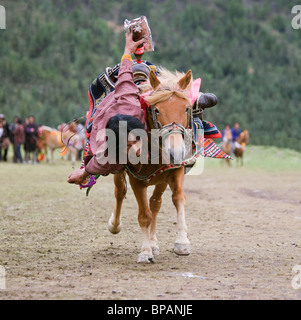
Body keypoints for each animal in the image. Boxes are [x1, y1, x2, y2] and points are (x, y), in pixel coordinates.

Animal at [107, 67, 195, 262]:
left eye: (186, 108)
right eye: (157, 110)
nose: (176, 152)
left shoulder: (175, 170)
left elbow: (179, 199)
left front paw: (181, 242)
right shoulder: (136, 180)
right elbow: (144, 215)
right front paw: (145, 251)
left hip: (161, 179)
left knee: (155, 203)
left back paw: (154, 242)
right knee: (119, 192)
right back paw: (115, 225)